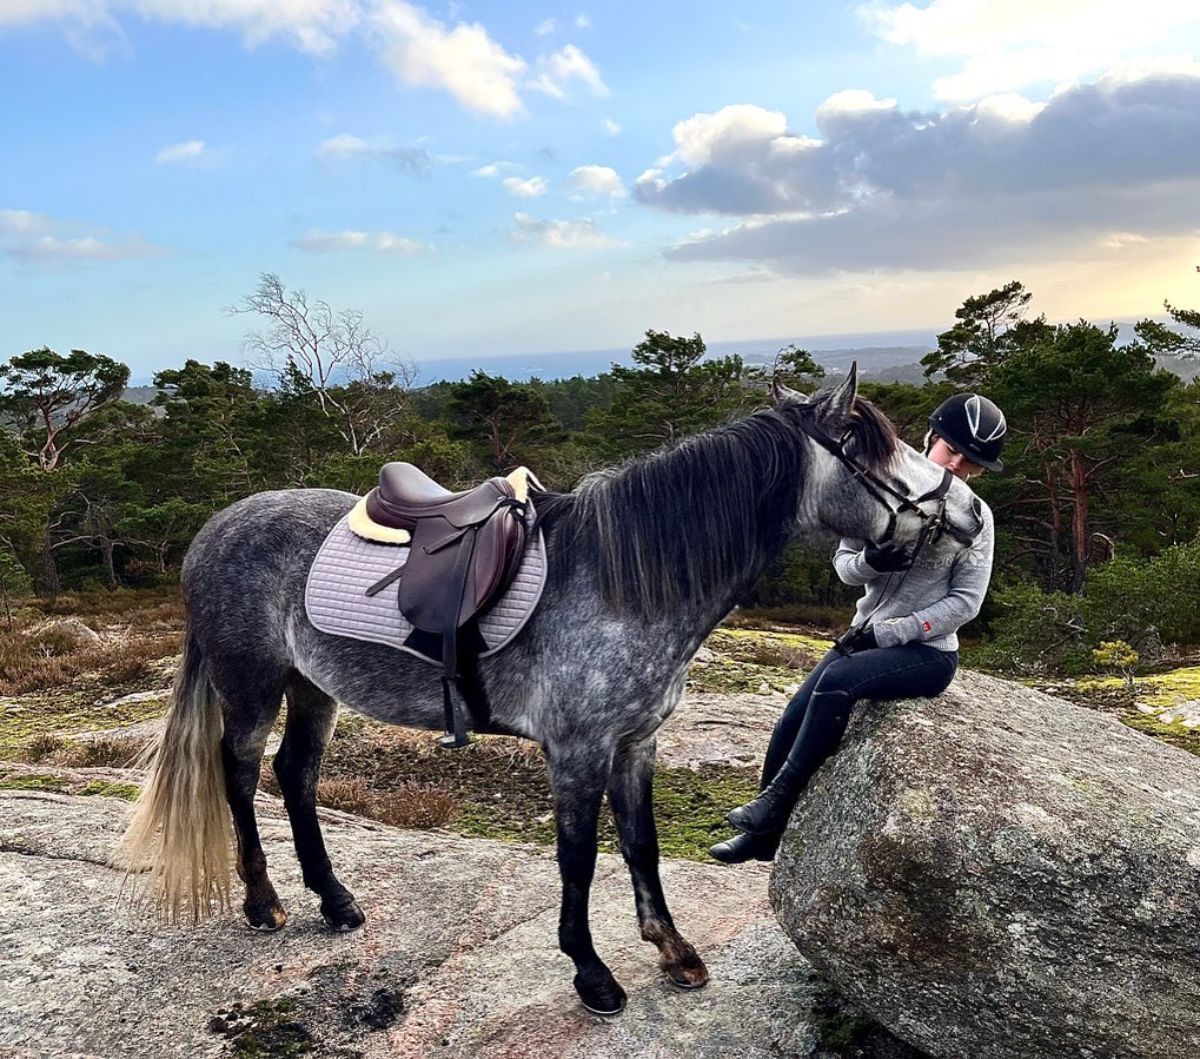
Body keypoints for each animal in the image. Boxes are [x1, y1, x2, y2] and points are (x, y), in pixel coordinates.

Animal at [119, 367, 984, 1013]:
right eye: (869, 445)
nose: (973, 511)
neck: (621, 579)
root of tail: (214, 528)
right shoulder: (576, 751)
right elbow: (575, 858)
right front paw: (592, 972)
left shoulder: (635, 744)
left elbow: (640, 843)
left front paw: (673, 949)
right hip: (253, 685)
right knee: (239, 775)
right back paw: (263, 901)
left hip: (314, 688)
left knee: (295, 776)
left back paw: (335, 901)